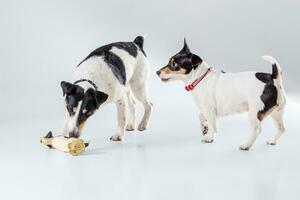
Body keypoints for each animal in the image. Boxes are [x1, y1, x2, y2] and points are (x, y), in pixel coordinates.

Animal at [157, 39, 286, 150]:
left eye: (174, 64)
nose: (157, 72)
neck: (200, 78)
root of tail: (274, 78)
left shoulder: (209, 109)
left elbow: (211, 124)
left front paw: (209, 137)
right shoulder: (210, 110)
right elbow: (203, 117)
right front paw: (205, 128)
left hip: (254, 112)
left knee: (257, 129)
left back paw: (246, 145)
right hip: (276, 112)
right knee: (281, 129)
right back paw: (272, 141)